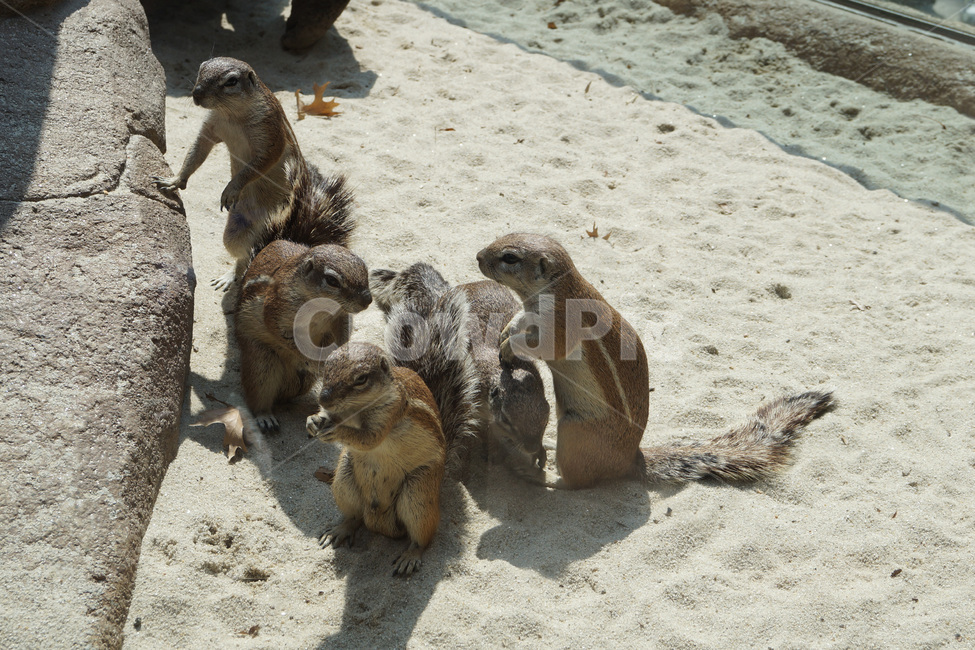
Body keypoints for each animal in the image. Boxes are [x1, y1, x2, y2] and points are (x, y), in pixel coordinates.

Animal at [155, 57, 331, 291]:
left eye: (231, 81)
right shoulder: (210, 128)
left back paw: (230, 277)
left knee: (247, 257)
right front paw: (175, 180)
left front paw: (232, 188)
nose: (197, 93)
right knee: (243, 253)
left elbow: (256, 166)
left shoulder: (270, 134)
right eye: (201, 68)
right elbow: (196, 153)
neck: (232, 115)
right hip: (234, 230)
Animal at [306, 341, 445, 576]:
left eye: (361, 379)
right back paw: (339, 531)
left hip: (418, 493)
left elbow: (369, 439)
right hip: (344, 479)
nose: (323, 398)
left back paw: (410, 556)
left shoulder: (391, 411)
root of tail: (379, 521)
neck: (354, 410)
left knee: (423, 536)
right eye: (326, 368)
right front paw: (313, 420)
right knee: (355, 518)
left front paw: (337, 430)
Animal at [370, 263, 550, 472]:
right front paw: (495, 451)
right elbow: (487, 433)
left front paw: (540, 452)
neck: (506, 369)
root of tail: (444, 292)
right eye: (506, 419)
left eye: (547, 413)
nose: (532, 446)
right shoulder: (476, 407)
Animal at [477, 232, 835, 489]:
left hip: (575, 429)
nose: (478, 256)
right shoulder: (532, 312)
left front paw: (512, 345)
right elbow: (521, 320)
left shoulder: (562, 326)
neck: (557, 288)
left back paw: (544, 476)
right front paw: (507, 331)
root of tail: (632, 460)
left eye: (510, 257)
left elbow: (548, 347)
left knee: (578, 483)